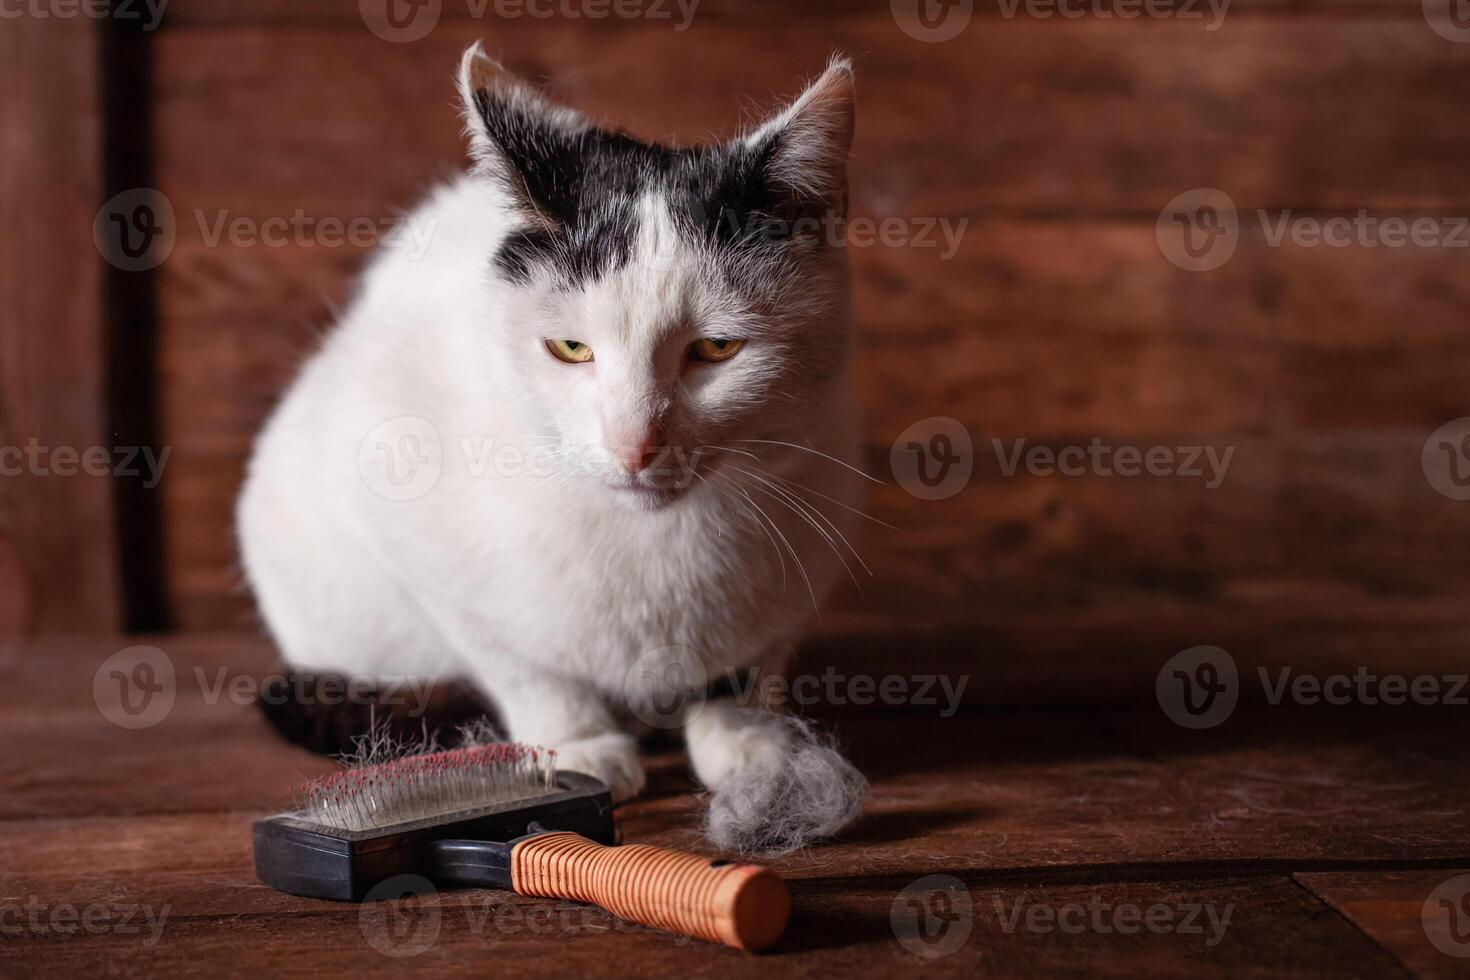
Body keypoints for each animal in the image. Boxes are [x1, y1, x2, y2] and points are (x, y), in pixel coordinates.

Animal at [235, 44, 864, 858]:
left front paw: (752, 746)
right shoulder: (416, 535)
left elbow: (744, 661)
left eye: (717, 349)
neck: (654, 545)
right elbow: (523, 659)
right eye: (569, 348)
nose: (634, 444)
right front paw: (576, 747)